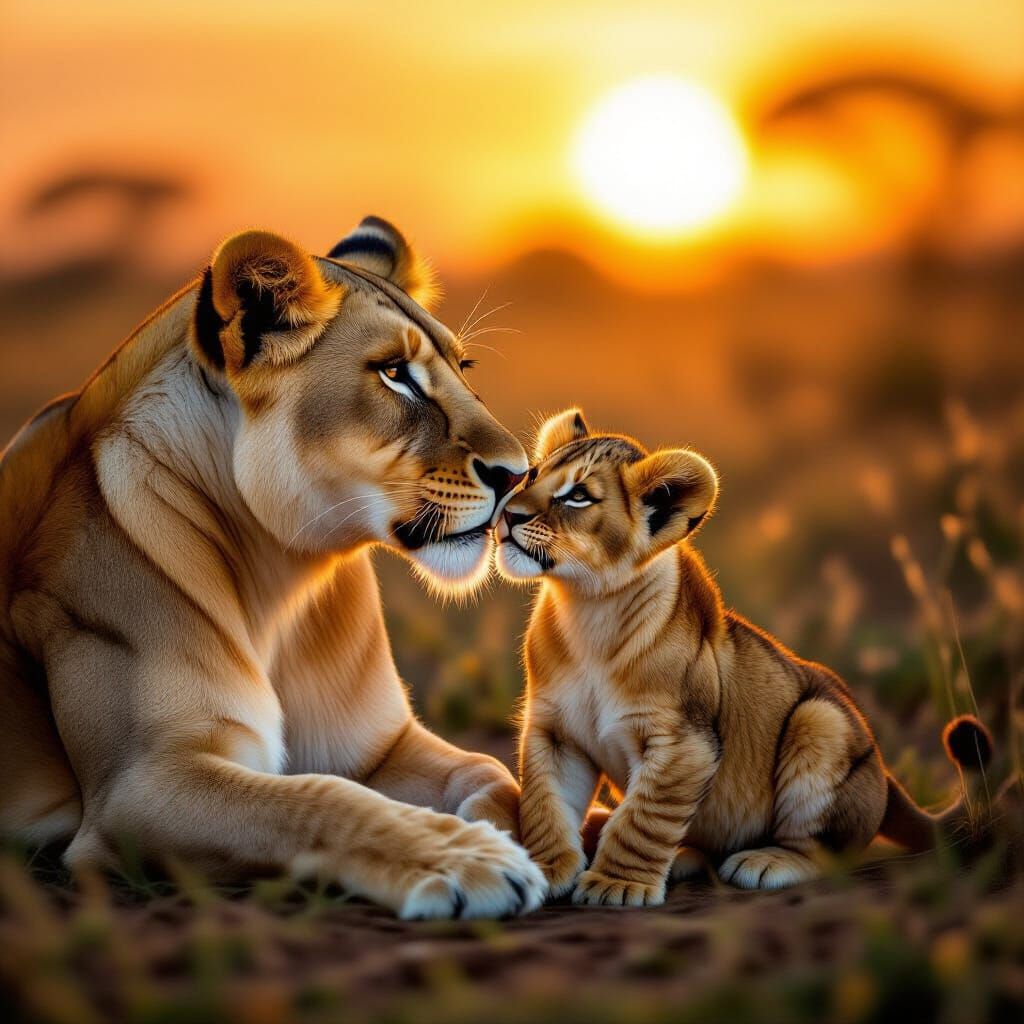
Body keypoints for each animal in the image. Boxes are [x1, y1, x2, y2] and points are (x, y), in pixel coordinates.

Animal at [0, 217, 546, 919]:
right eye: (394, 373)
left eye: (462, 367)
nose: (518, 475)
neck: (282, 579)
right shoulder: (141, 786)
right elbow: (320, 798)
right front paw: (467, 859)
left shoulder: (379, 747)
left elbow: (490, 771)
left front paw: (516, 834)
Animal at [496, 409, 992, 906]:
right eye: (534, 475)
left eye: (578, 496)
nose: (507, 514)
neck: (587, 609)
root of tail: (887, 780)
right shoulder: (554, 731)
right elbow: (544, 806)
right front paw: (543, 869)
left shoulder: (684, 743)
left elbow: (643, 820)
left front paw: (617, 883)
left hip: (820, 720)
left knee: (821, 852)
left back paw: (764, 861)